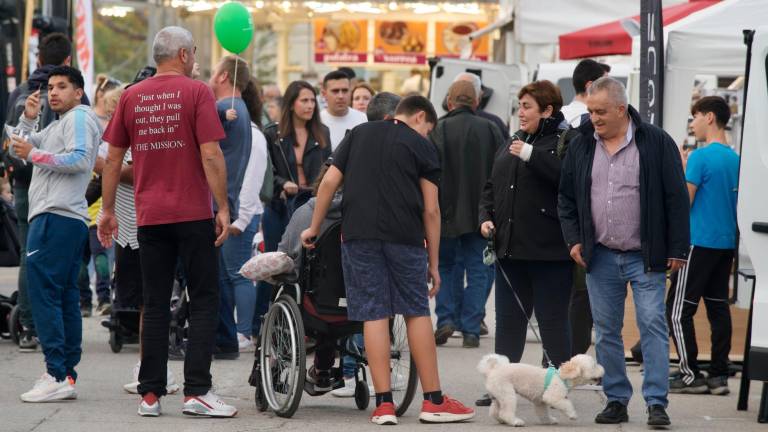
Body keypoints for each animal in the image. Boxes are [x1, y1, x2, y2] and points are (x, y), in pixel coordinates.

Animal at [474, 354, 608, 426]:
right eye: (594, 366)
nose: (603, 369)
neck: (562, 377)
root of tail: (492, 370)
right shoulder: (552, 396)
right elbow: (566, 404)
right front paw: (572, 415)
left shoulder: (540, 402)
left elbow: (543, 413)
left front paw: (549, 421)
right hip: (508, 394)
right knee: (505, 412)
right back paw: (515, 422)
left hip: (498, 396)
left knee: (494, 412)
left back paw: (502, 420)